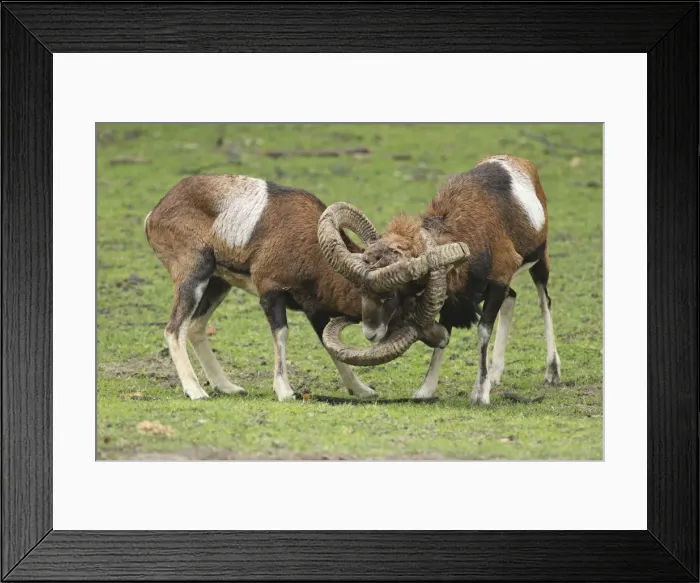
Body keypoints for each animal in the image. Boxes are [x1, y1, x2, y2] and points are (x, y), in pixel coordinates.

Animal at [143, 174, 467, 401]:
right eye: (393, 298)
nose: (441, 336)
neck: (308, 248)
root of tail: (154, 214)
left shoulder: (315, 311)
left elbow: (331, 348)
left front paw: (362, 390)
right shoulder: (270, 294)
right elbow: (282, 336)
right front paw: (285, 392)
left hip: (217, 284)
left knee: (196, 328)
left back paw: (228, 387)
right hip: (194, 276)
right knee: (174, 329)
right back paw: (196, 392)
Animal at [318, 154, 562, 405]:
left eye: (391, 295)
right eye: (361, 291)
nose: (370, 333)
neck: (473, 227)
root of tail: (521, 162)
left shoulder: (499, 281)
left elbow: (483, 331)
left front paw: (480, 394)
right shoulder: (453, 295)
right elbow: (446, 330)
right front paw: (425, 390)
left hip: (540, 262)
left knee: (544, 303)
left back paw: (552, 373)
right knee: (512, 298)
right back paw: (495, 375)